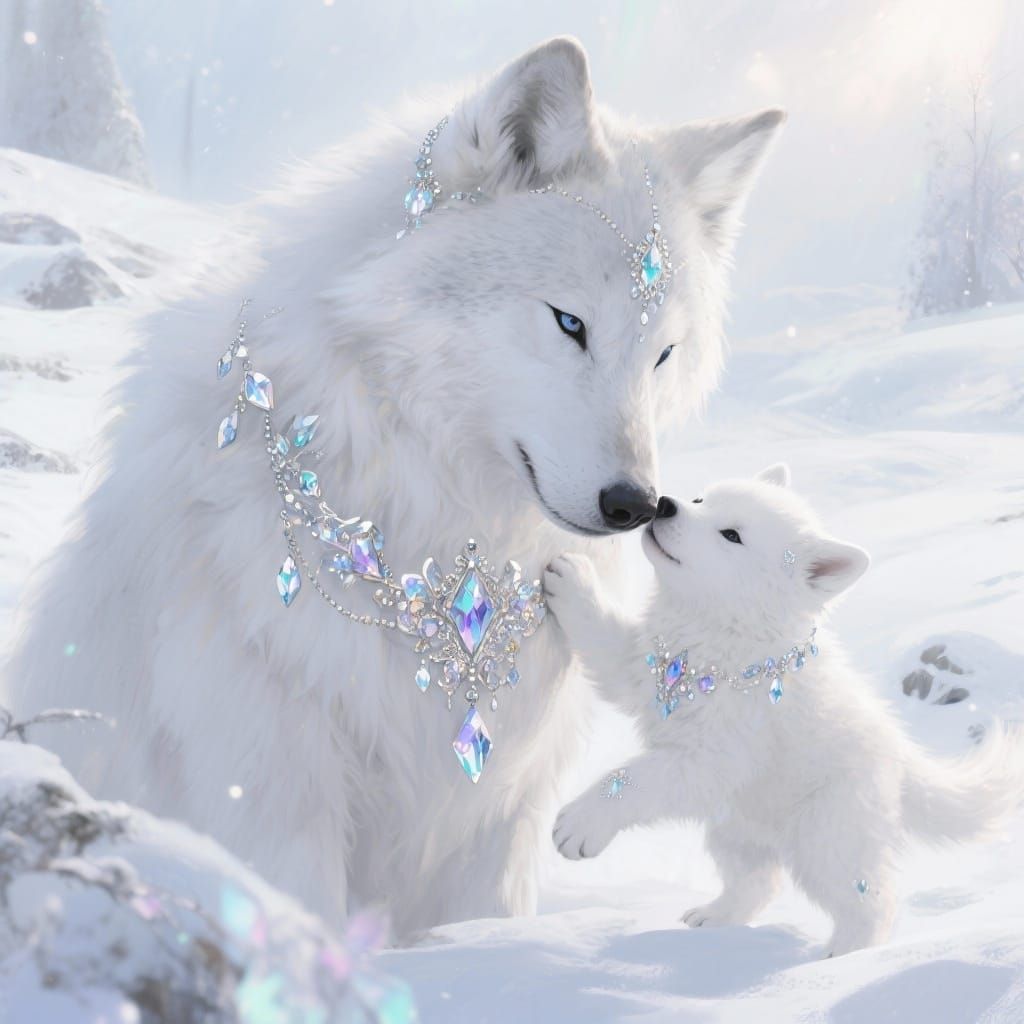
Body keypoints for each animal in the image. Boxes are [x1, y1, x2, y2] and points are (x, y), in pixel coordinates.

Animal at [2, 38, 784, 939]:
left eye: (663, 354)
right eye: (570, 323)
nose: (634, 506)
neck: (433, 531)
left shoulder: (500, 803)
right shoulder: (273, 788)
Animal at [544, 465, 1024, 955]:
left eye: (732, 535)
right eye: (701, 499)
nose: (664, 504)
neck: (724, 637)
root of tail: (900, 755)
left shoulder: (711, 757)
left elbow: (635, 779)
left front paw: (581, 824)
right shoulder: (643, 669)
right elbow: (604, 641)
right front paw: (572, 578)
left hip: (827, 835)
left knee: (872, 900)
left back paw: (842, 955)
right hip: (737, 823)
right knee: (759, 881)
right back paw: (715, 918)